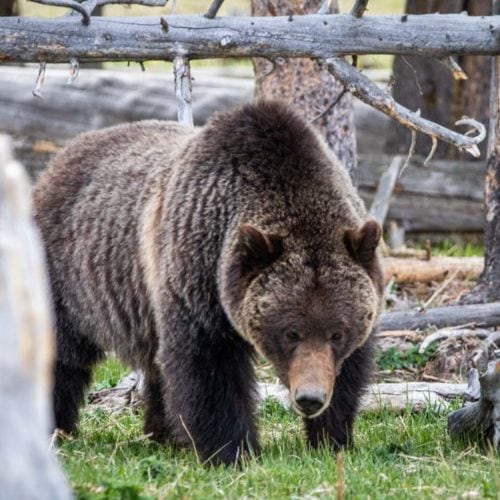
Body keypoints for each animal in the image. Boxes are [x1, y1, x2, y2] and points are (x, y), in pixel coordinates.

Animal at [33, 100, 384, 464]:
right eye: (291, 332)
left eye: (337, 333)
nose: (310, 398)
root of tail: (57, 159)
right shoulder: (199, 277)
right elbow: (209, 367)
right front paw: (232, 450)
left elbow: (349, 371)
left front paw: (332, 438)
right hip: (68, 275)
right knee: (59, 351)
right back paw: (55, 428)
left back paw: (163, 433)